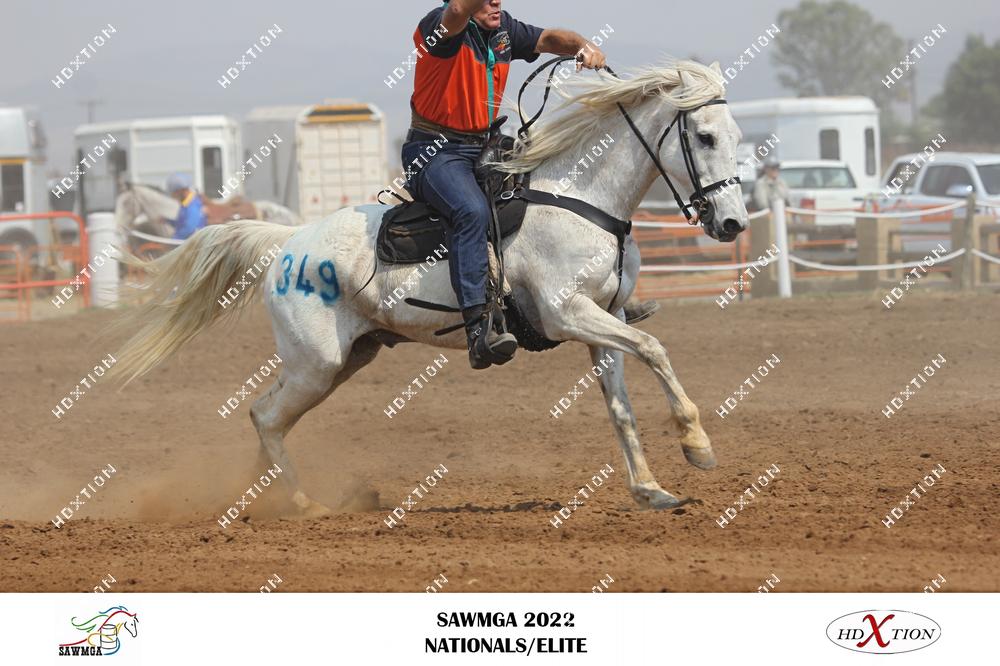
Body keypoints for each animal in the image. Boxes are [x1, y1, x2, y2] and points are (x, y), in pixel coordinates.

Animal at [111, 59, 748, 515]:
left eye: (738, 136)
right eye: (705, 137)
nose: (733, 224)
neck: (578, 197)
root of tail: (288, 239)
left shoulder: (601, 322)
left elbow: (621, 405)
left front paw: (650, 489)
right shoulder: (566, 313)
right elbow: (655, 349)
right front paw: (697, 445)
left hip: (347, 360)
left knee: (268, 417)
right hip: (315, 364)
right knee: (265, 417)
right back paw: (301, 504)